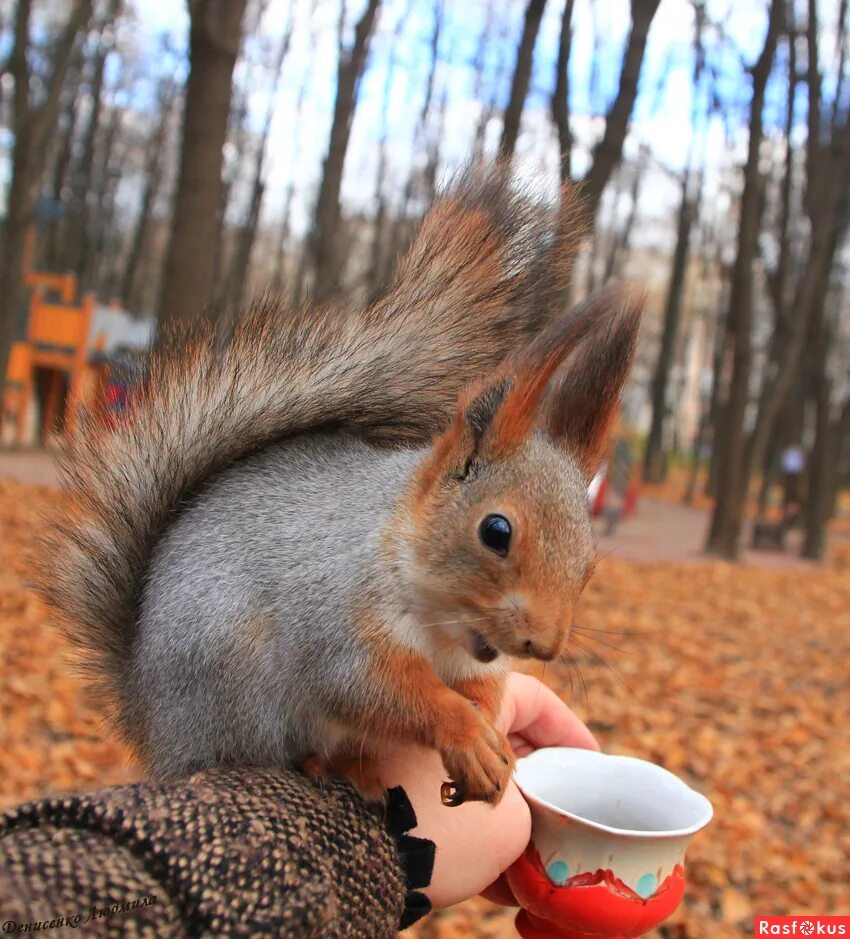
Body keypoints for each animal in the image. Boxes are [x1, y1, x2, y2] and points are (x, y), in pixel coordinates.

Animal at [38, 174, 636, 808]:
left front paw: (488, 727)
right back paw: (324, 763)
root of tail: (155, 728)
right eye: (496, 531)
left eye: (589, 562)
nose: (543, 646)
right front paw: (465, 733)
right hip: (237, 686)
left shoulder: (477, 658)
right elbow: (378, 688)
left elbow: (482, 688)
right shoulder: (335, 616)